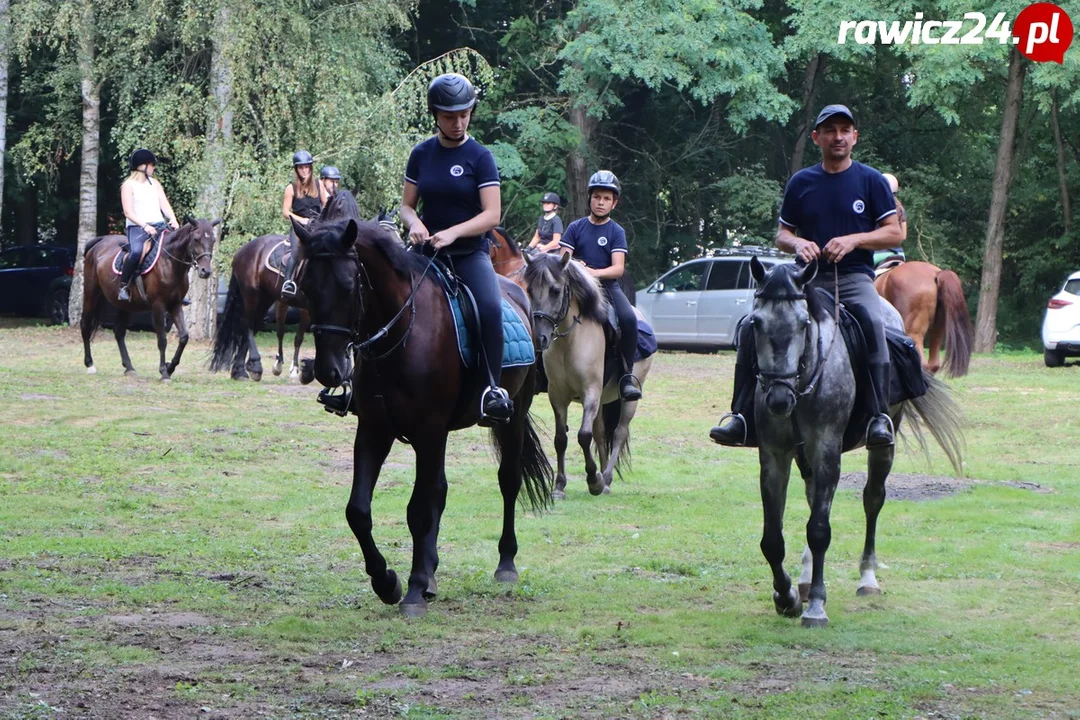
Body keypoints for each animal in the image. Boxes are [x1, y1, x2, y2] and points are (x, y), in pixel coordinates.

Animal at [80, 216, 221, 379]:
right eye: (196, 239)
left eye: (213, 240)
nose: (206, 271)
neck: (169, 262)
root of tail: (99, 242)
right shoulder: (158, 305)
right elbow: (162, 340)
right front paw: (164, 372)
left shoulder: (175, 304)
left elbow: (184, 337)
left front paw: (170, 367)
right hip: (91, 294)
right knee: (85, 326)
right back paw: (90, 364)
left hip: (124, 305)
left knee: (119, 332)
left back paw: (129, 367)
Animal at [743, 257, 963, 626]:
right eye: (756, 323)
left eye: (804, 323)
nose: (778, 399)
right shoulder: (774, 454)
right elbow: (772, 538)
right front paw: (787, 598)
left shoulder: (827, 449)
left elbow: (819, 529)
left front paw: (816, 606)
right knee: (814, 497)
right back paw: (805, 580)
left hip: (882, 445)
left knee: (872, 499)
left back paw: (867, 579)